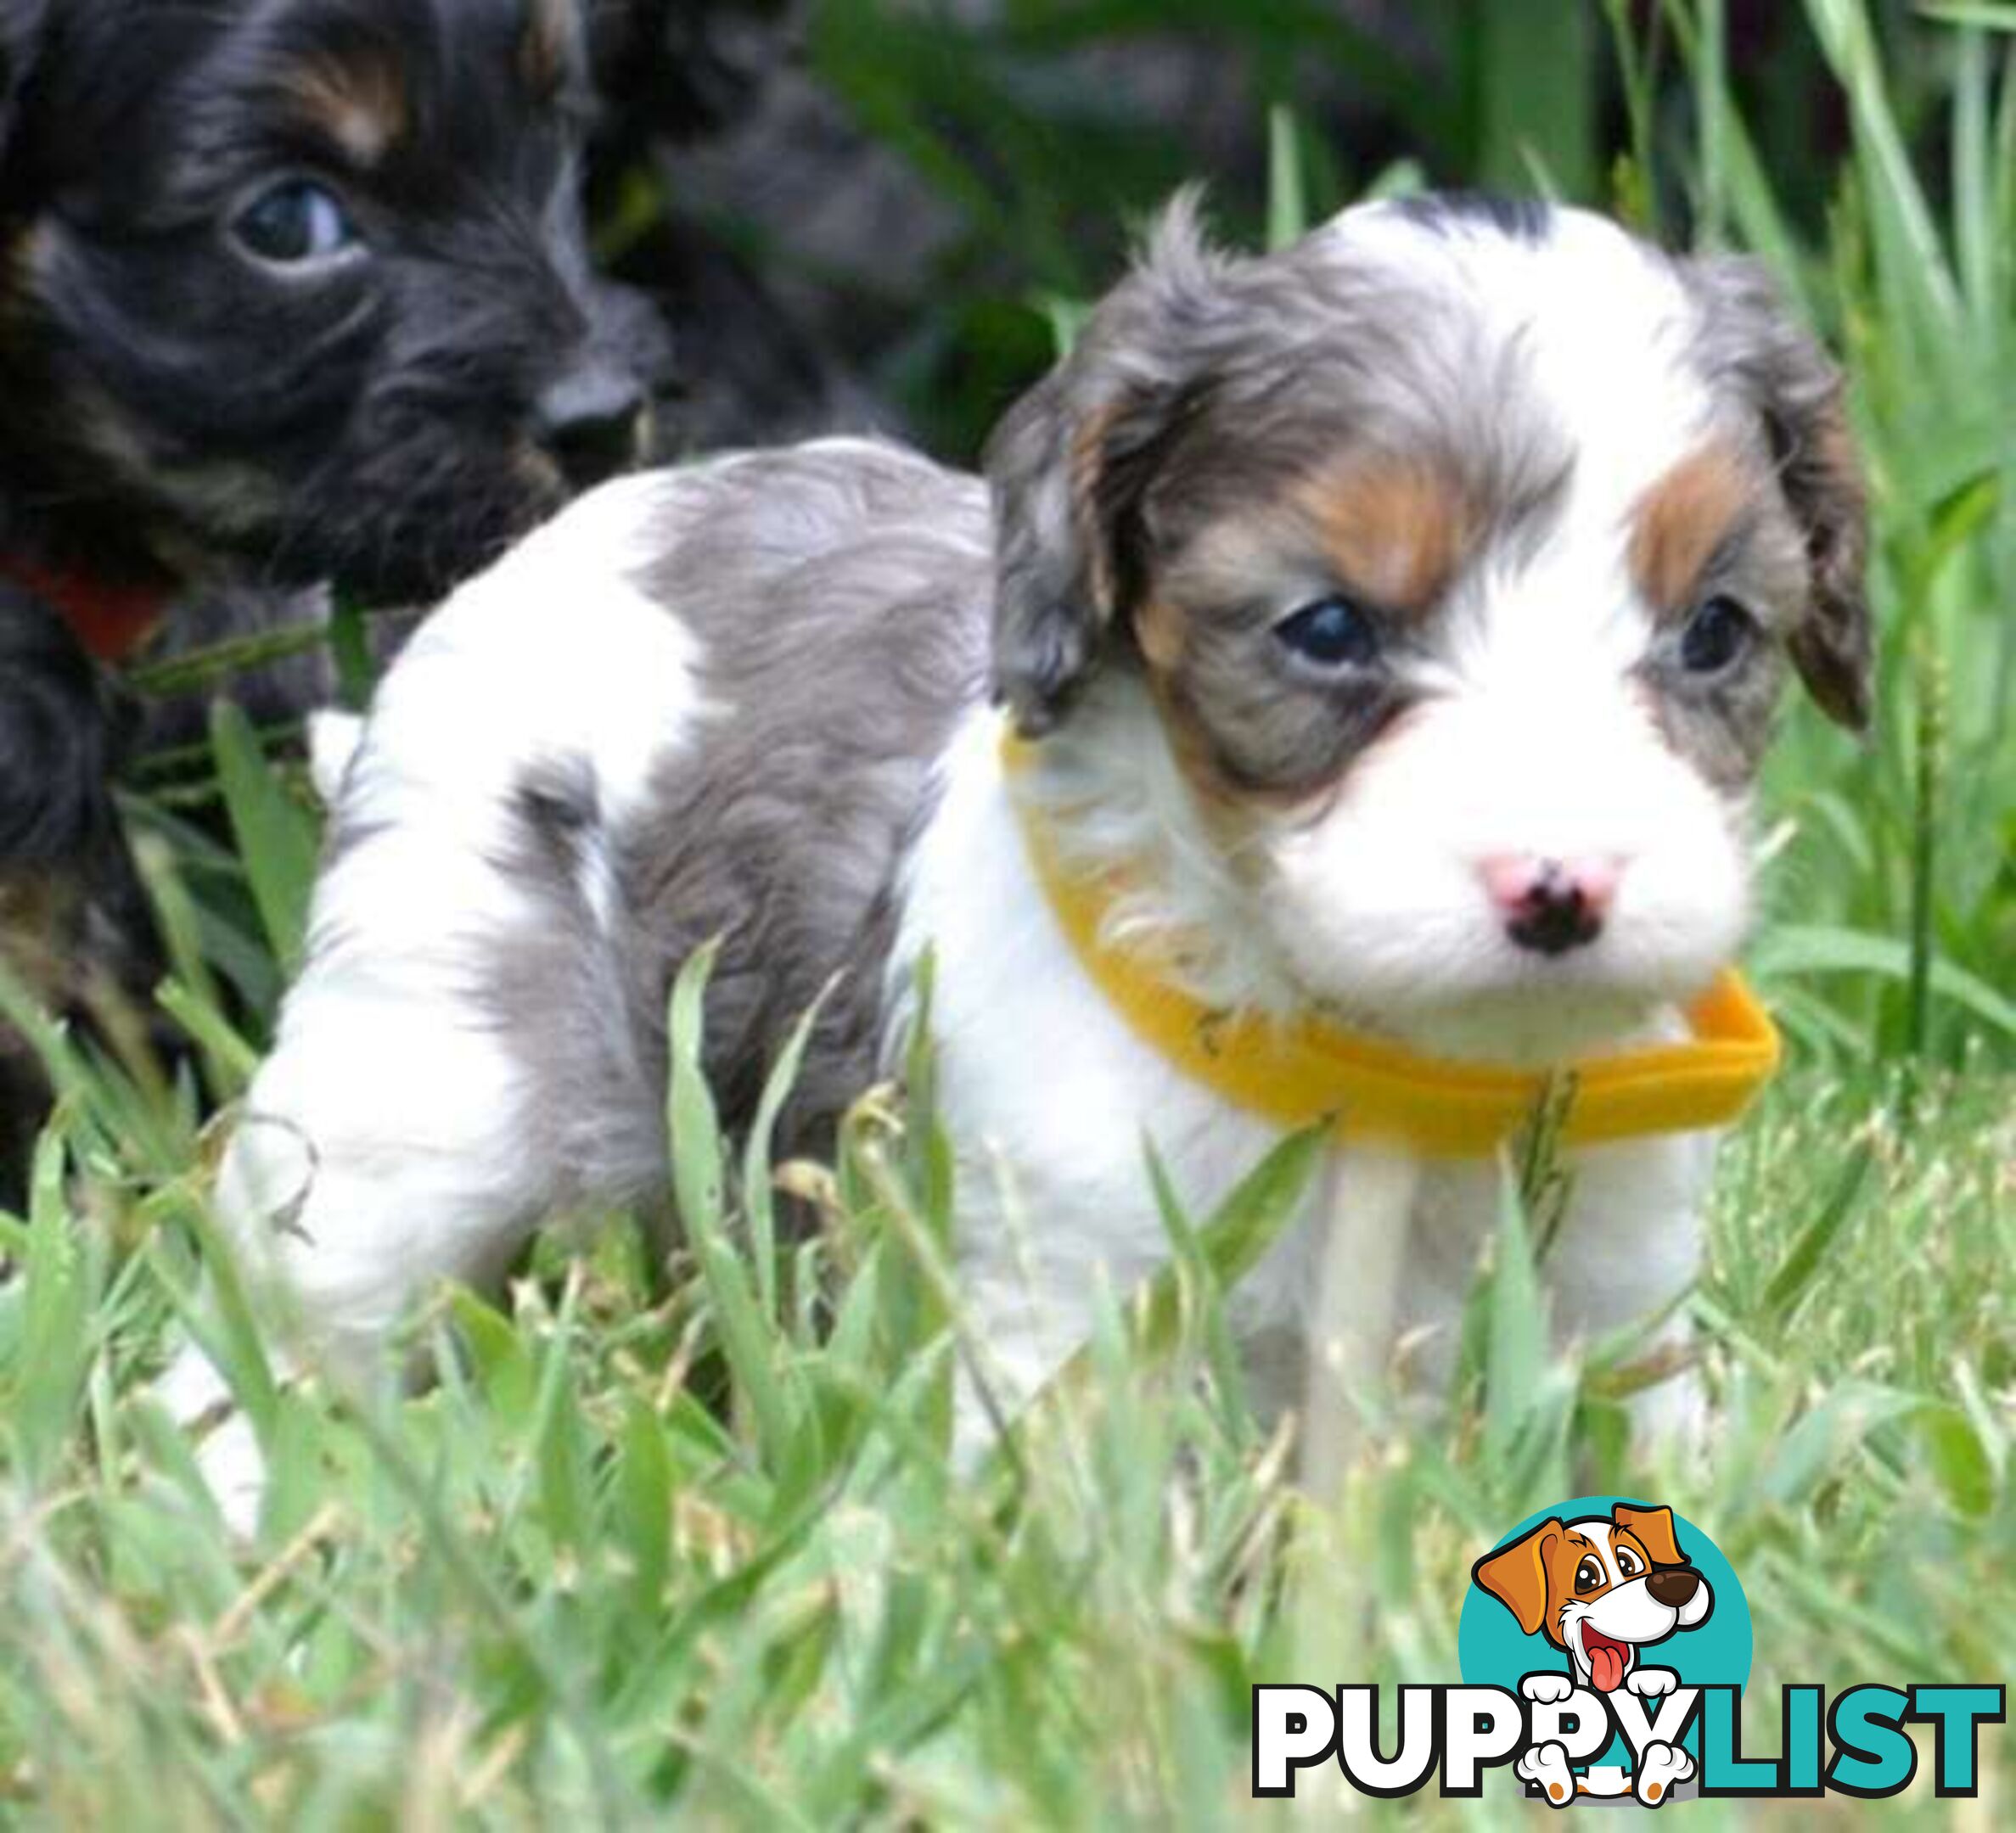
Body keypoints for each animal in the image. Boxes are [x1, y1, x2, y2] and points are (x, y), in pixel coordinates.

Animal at [165, 193, 1862, 1508]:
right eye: (1326, 630)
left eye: (1714, 633)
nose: (1560, 889)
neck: (1380, 1066)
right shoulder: (1065, 1298)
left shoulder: (1612, 1299)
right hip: (413, 1087)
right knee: (284, 1313)